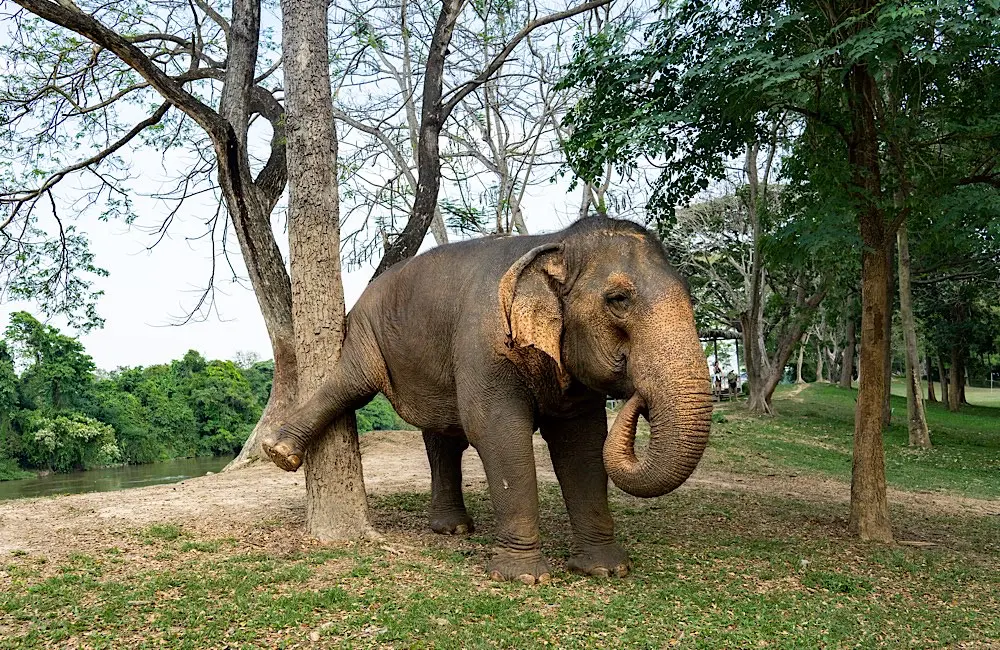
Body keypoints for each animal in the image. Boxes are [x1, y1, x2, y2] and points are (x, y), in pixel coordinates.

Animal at [263, 215, 712, 584]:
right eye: (618, 299)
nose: (637, 396)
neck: (554, 242)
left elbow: (581, 444)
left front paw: (605, 569)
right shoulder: (484, 347)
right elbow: (498, 433)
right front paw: (522, 577)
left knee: (442, 438)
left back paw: (453, 529)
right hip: (366, 330)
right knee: (351, 383)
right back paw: (280, 452)